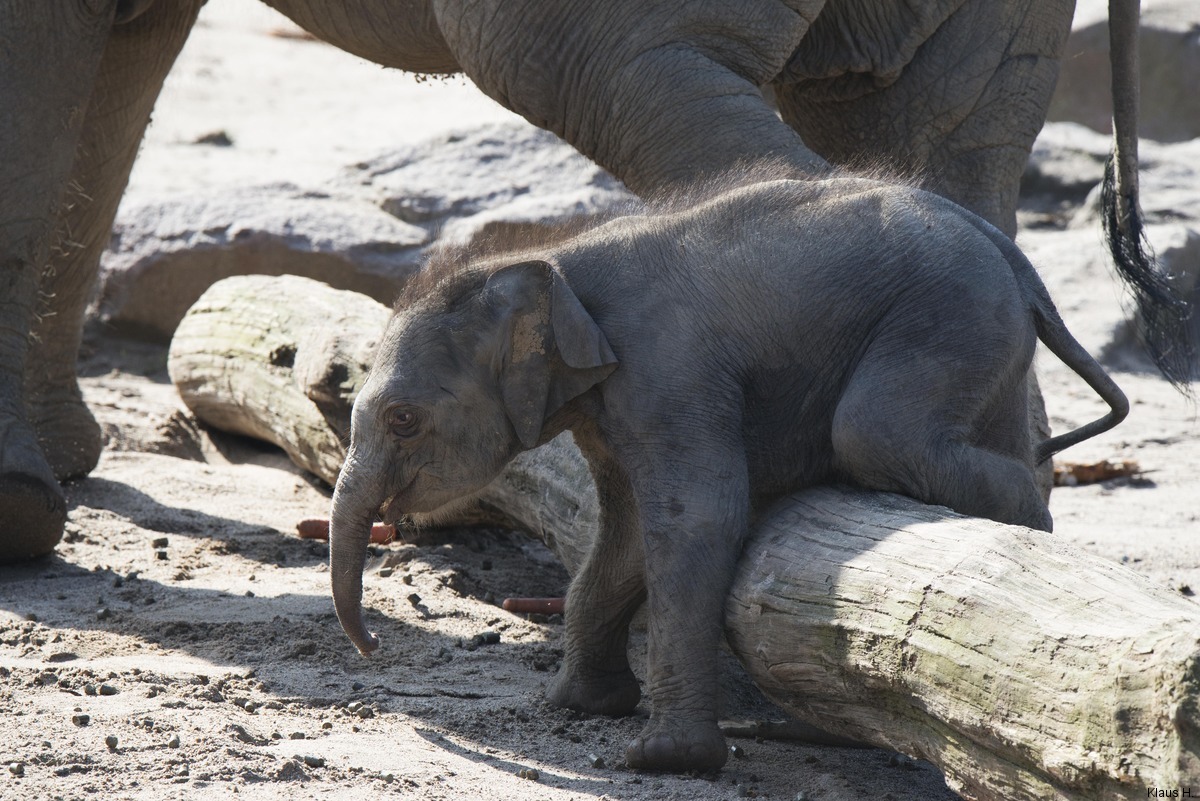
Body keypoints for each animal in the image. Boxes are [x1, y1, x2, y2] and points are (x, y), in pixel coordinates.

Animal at [326, 173, 1123, 767]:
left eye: (403, 419)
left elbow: (698, 516)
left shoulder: (669, 372)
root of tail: (1013, 257)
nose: (373, 649)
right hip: (987, 335)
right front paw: (581, 705)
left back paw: (1022, 518)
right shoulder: (608, 409)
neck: (554, 259)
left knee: (874, 432)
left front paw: (664, 760)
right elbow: (627, 532)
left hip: (948, 314)